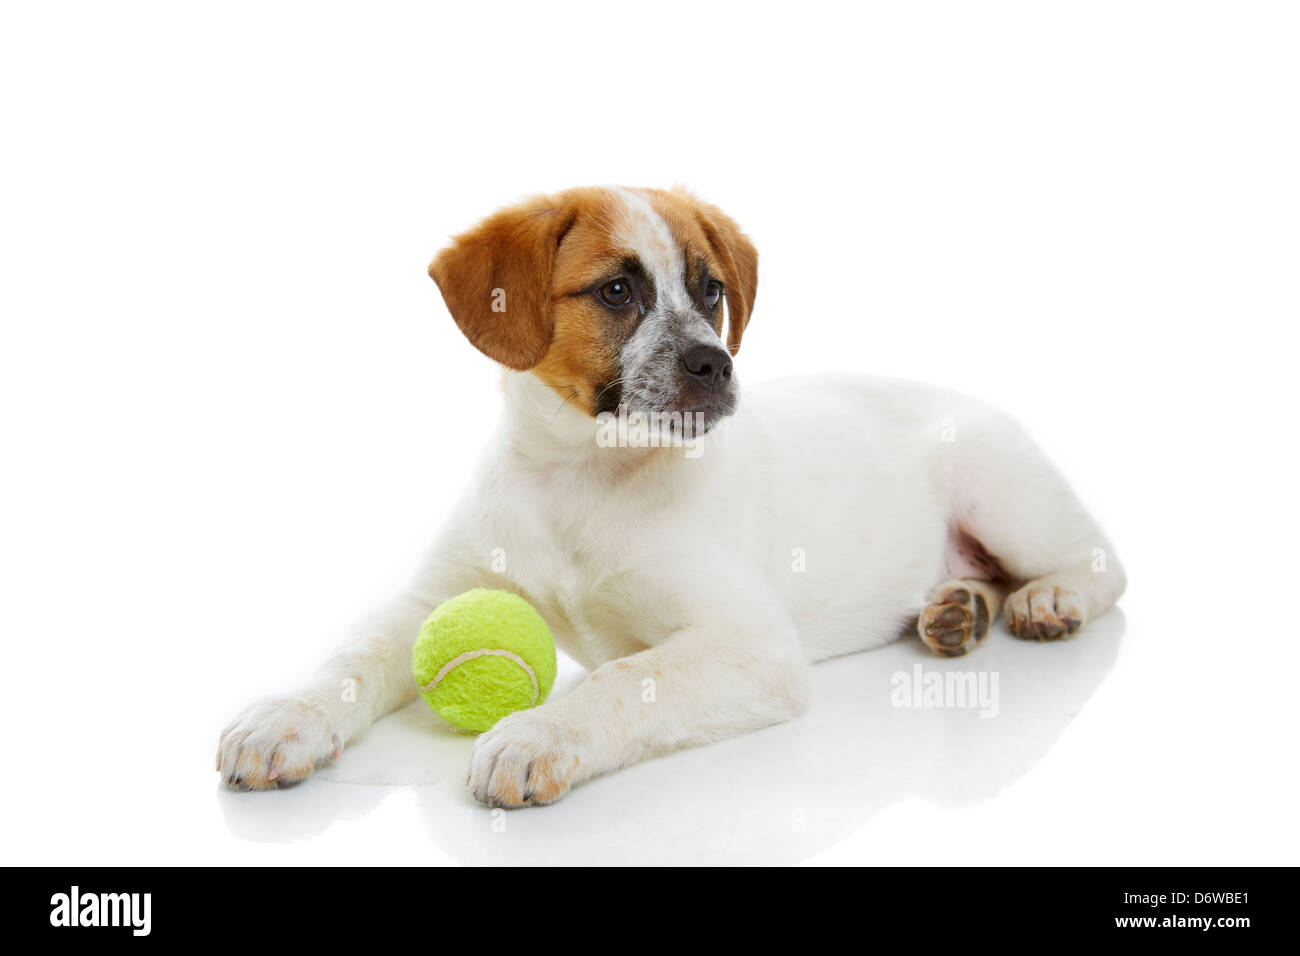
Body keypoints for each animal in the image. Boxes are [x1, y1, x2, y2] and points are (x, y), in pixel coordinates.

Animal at [218, 184, 1123, 806]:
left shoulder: (751, 644)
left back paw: (1047, 601)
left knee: (1104, 567)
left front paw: (537, 733)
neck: (583, 476)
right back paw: (957, 608)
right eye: (617, 292)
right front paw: (284, 717)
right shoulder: (434, 597)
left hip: (1004, 491)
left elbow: (627, 678)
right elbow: (353, 655)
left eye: (710, 289)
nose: (715, 366)